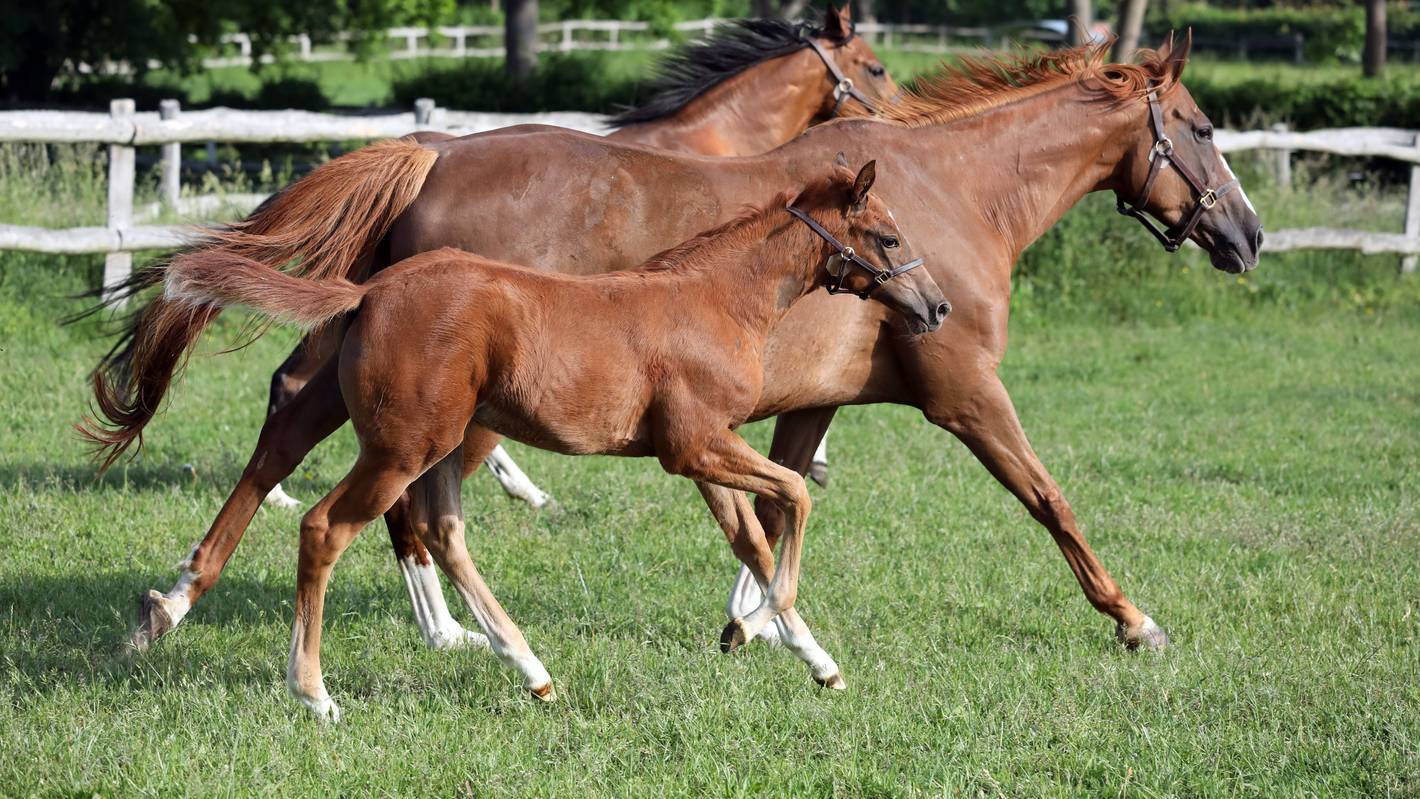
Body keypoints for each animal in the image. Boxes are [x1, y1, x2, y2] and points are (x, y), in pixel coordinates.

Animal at [155, 163, 949, 720]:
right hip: (406, 448)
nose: (936, 306)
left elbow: (751, 537)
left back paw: (531, 671)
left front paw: (811, 657)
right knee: (327, 526)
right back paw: (314, 692)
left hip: (438, 443)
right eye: (889, 237)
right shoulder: (695, 445)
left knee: (435, 528)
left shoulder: (703, 451)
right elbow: (792, 497)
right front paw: (757, 626)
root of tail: (371, 291)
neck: (715, 299)